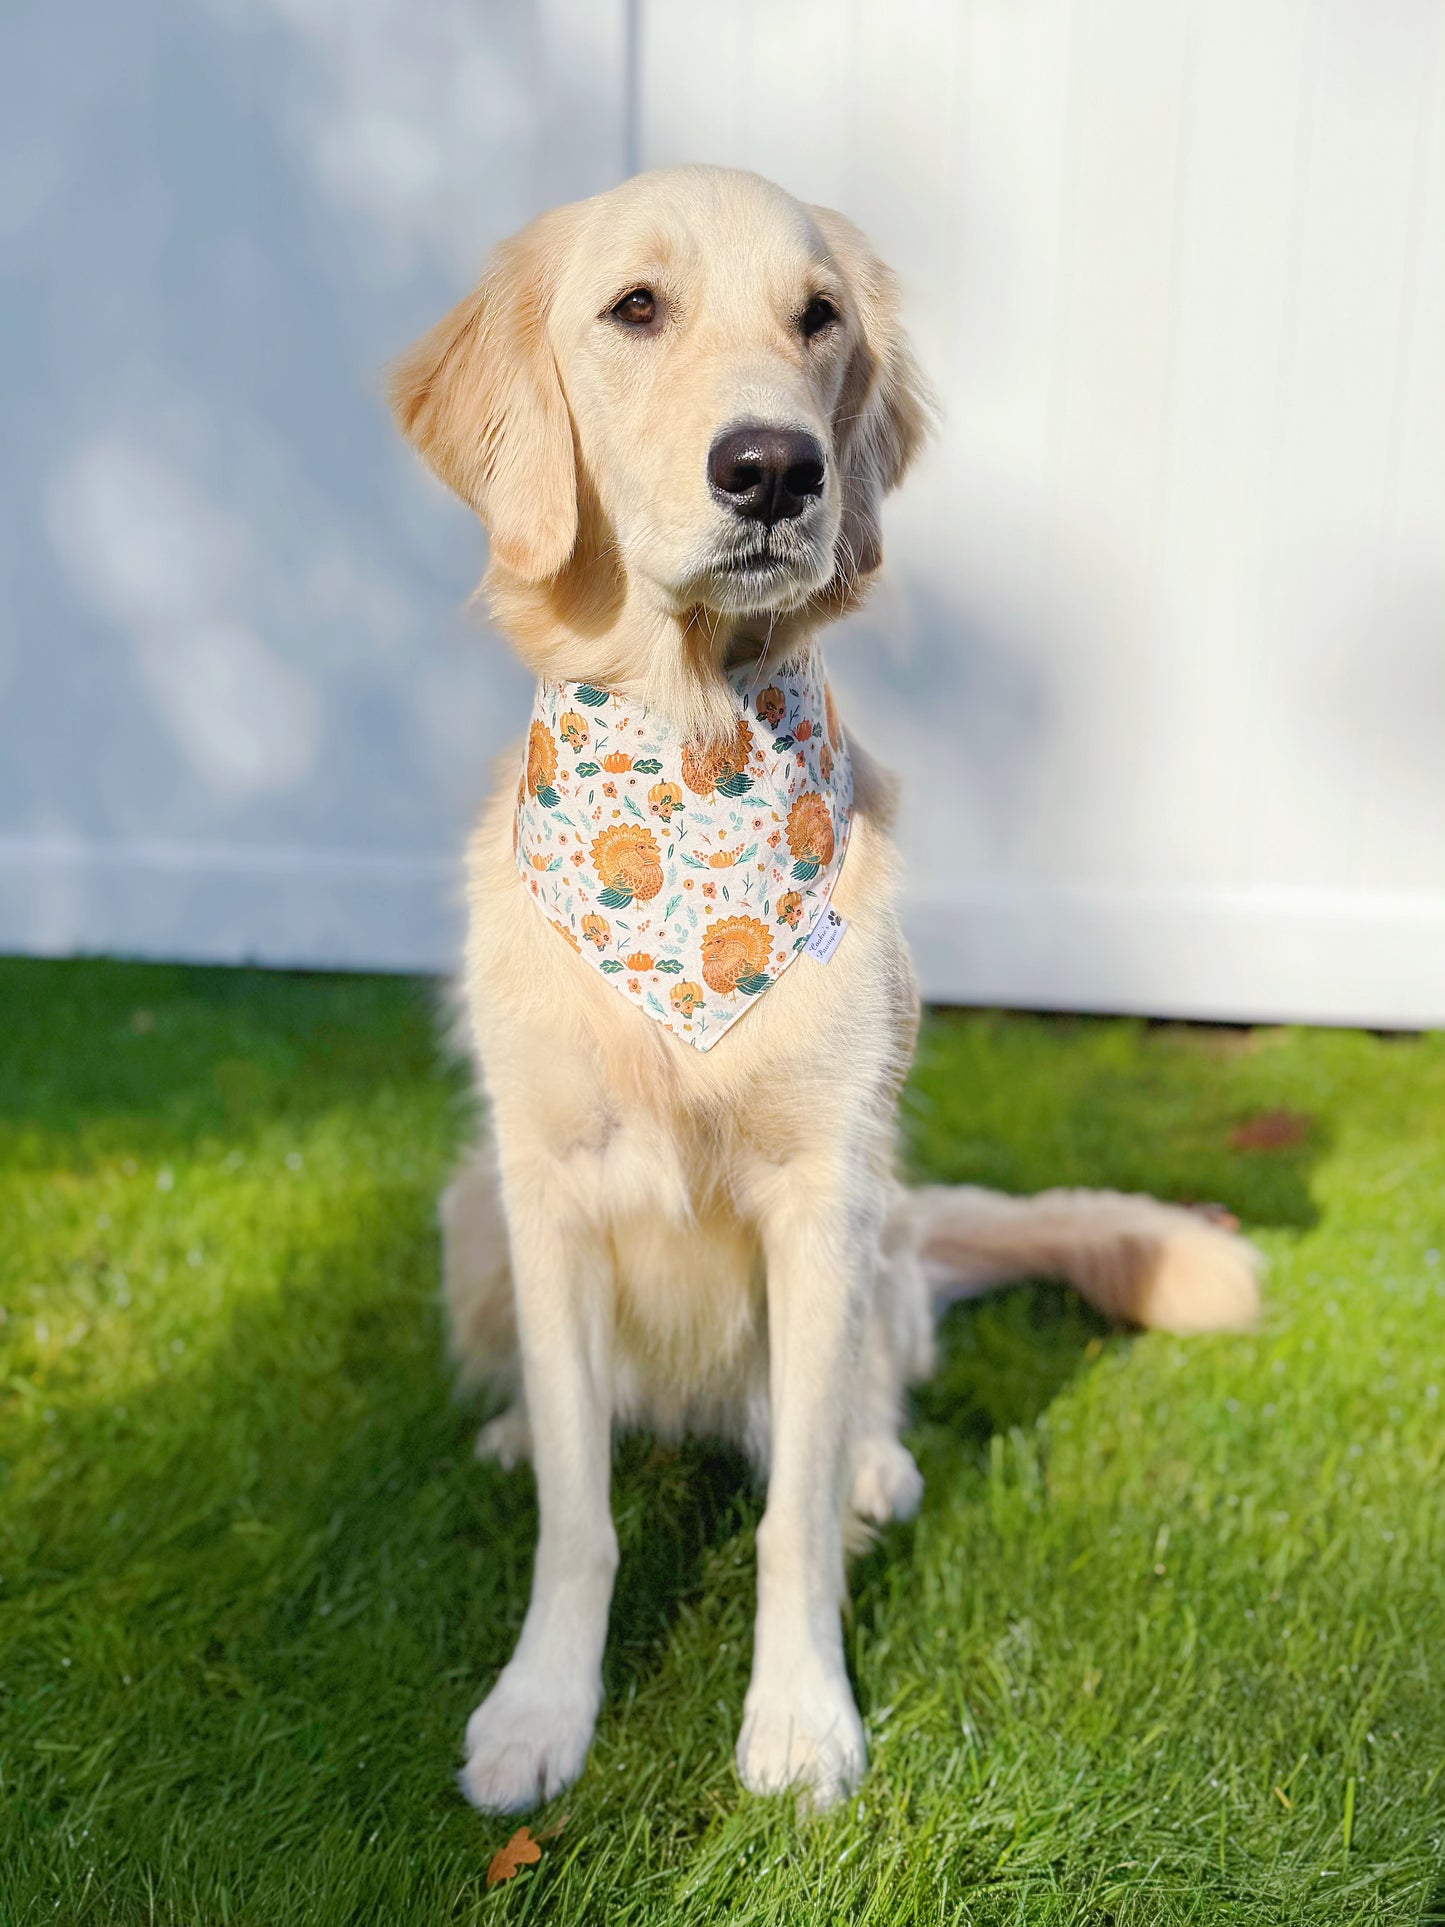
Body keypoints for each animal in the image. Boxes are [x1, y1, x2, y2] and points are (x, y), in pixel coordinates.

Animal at [391, 161, 1263, 1803]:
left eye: (819, 319)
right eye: (635, 307)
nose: (775, 469)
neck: (690, 753)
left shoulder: (820, 1194)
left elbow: (786, 1520)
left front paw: (798, 1721)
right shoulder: (544, 1186)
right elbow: (577, 1517)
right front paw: (542, 1706)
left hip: (882, 1232)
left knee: (862, 1396)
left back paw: (871, 1464)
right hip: (471, 1203)